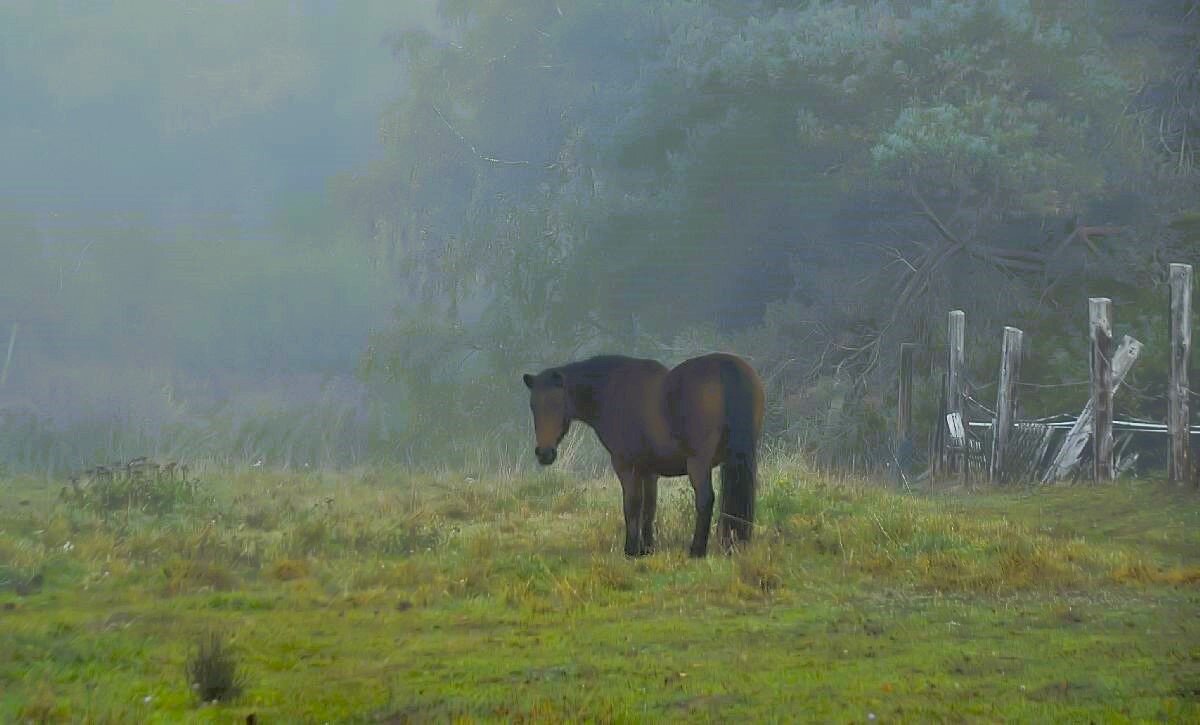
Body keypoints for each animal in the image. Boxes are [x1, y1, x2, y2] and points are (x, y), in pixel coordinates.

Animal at [520, 352, 763, 556]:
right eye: (533, 406)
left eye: (556, 404)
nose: (544, 453)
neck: (613, 392)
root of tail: (726, 368)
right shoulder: (649, 471)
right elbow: (649, 507)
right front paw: (647, 548)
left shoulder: (626, 466)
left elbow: (632, 503)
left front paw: (631, 549)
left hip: (698, 463)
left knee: (705, 499)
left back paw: (696, 550)